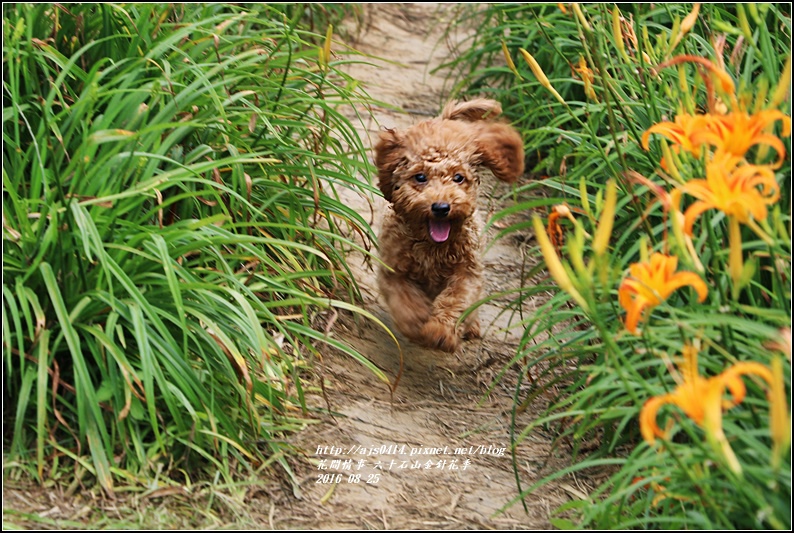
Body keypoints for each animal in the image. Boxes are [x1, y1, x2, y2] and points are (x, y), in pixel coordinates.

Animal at [372, 98, 524, 352]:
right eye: (420, 177)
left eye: (458, 178)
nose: (441, 207)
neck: (432, 246)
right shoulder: (394, 271)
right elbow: (407, 304)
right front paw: (419, 323)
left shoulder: (467, 271)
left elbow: (456, 300)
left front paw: (440, 332)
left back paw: (471, 327)